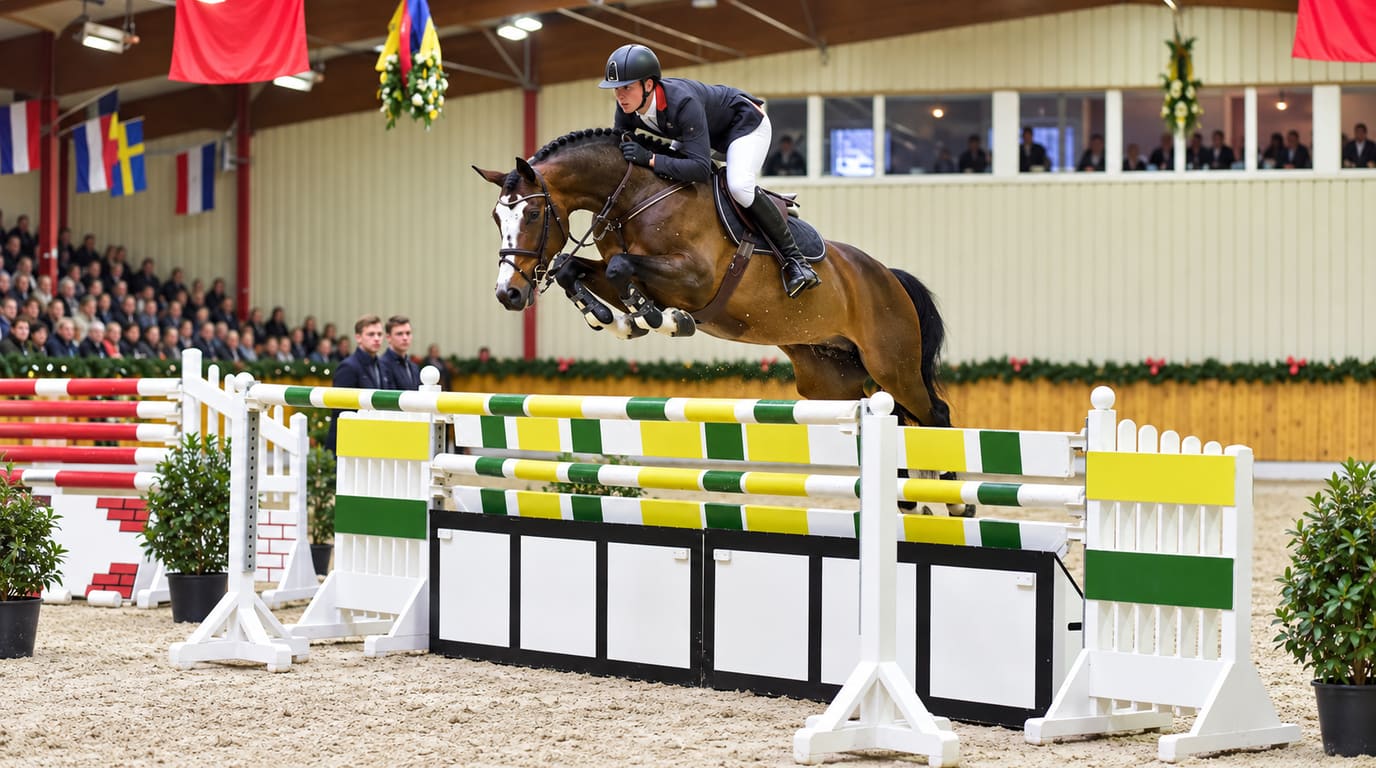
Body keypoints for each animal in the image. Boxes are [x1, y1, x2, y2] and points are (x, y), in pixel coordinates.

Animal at [472, 127, 954, 433]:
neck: (635, 196)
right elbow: (576, 269)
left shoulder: (695, 278)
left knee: (936, 414)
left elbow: (620, 267)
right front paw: (613, 319)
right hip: (829, 378)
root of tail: (889, 277)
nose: (508, 294)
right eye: (497, 217)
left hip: (893, 366)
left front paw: (660, 318)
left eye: (534, 213)